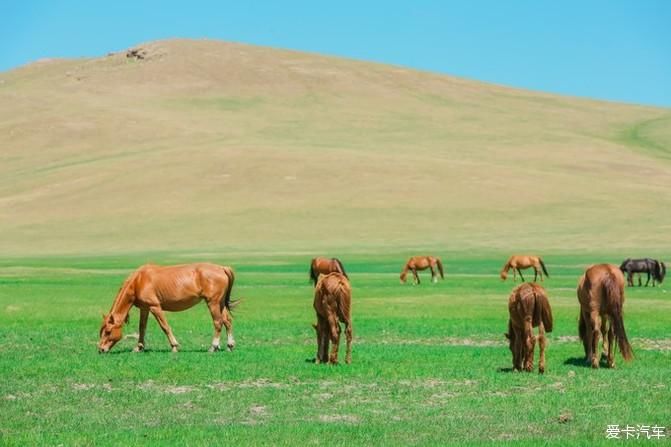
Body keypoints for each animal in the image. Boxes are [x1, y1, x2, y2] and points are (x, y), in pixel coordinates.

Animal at [98, 262, 238, 354]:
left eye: (108, 332)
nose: (101, 349)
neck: (139, 281)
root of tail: (222, 268)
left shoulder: (155, 307)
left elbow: (165, 327)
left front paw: (174, 346)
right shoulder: (145, 308)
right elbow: (142, 328)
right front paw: (139, 347)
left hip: (213, 303)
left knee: (218, 322)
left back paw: (213, 347)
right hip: (220, 303)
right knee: (227, 321)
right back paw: (229, 345)